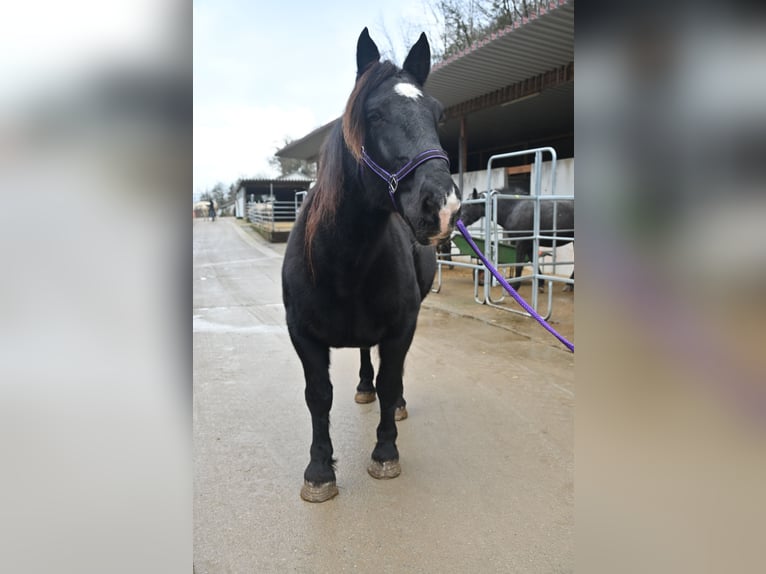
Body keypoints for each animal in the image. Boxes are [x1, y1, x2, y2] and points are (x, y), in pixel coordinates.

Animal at [281, 28, 461, 502]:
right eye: (374, 114)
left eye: (437, 114)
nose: (442, 207)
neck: (341, 260)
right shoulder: (302, 335)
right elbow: (318, 395)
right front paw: (319, 471)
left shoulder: (402, 327)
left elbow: (391, 381)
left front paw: (385, 453)